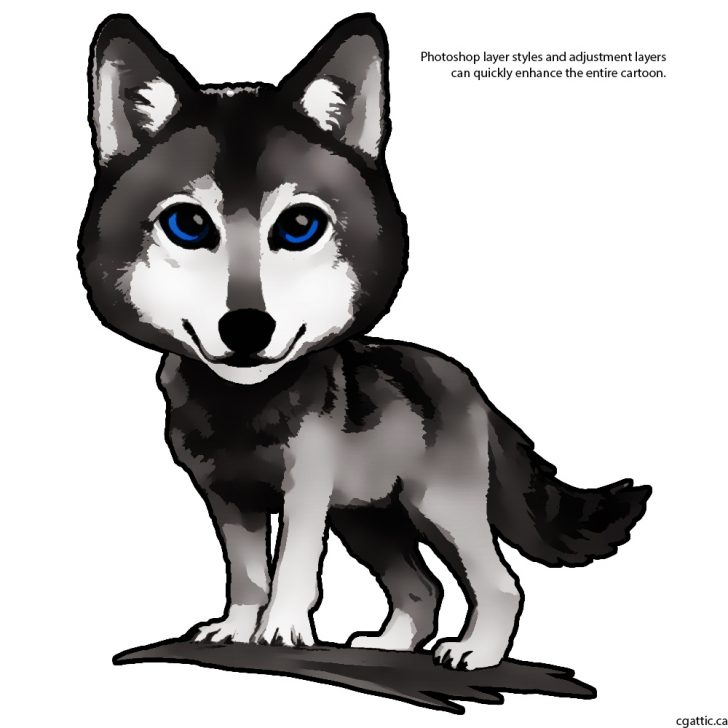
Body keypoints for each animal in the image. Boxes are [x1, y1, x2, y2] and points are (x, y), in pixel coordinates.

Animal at [78, 13, 651, 670]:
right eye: (189, 225)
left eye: (299, 226)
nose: (247, 327)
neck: (243, 408)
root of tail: (465, 380)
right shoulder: (226, 498)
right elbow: (247, 575)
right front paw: (238, 629)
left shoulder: (306, 492)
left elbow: (293, 569)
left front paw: (280, 634)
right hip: (371, 523)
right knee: (422, 590)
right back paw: (392, 645)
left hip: (436, 511)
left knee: (501, 584)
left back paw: (475, 653)